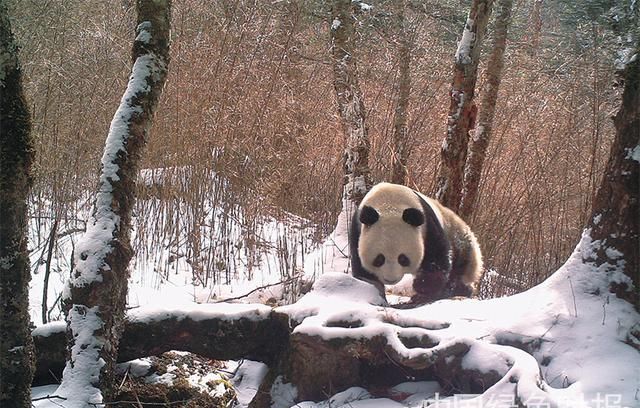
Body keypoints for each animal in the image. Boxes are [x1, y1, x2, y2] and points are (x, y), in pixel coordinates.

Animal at [350, 183, 484, 302]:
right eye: (379, 258)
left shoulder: (428, 226)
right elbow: (362, 269)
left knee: (459, 270)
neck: (389, 204)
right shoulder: (357, 230)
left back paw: (458, 290)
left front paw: (422, 287)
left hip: (460, 241)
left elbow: (436, 259)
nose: (390, 279)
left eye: (403, 258)